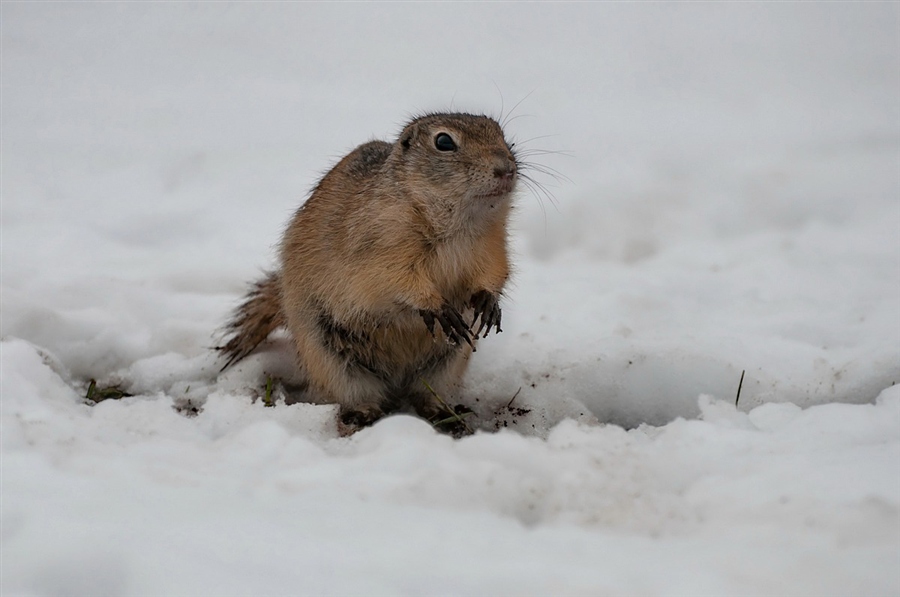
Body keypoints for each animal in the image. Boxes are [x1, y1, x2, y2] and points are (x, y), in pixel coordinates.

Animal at [220, 112, 520, 426]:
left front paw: (488, 302)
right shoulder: (378, 248)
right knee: (357, 395)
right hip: (334, 361)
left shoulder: (493, 249)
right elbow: (394, 281)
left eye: (503, 136)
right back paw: (364, 414)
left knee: (425, 394)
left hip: (446, 366)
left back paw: (444, 414)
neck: (458, 228)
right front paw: (436, 306)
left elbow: (496, 274)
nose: (507, 169)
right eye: (444, 142)